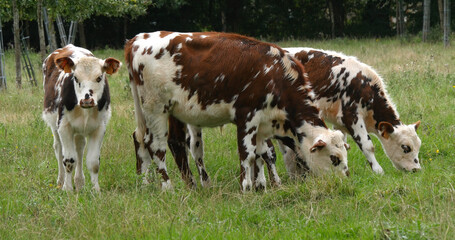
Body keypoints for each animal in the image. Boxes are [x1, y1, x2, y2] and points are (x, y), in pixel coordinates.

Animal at [42, 44, 121, 191]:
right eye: (76, 78)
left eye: (99, 77)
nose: (87, 100)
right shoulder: (64, 126)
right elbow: (68, 160)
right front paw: (67, 189)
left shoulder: (99, 128)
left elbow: (93, 162)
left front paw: (96, 190)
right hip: (54, 125)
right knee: (58, 149)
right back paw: (61, 181)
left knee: (79, 149)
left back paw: (79, 182)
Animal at [124, 31, 350, 191]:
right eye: (334, 158)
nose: (344, 181)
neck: (276, 75)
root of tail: (138, 39)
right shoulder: (247, 117)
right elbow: (247, 154)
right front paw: (246, 188)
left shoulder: (262, 123)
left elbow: (261, 153)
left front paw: (261, 186)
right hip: (156, 108)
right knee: (157, 146)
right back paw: (168, 187)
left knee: (143, 139)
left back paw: (150, 183)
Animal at [282, 47, 424, 176]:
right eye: (405, 147)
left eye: (418, 145)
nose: (416, 169)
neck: (365, 87)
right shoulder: (351, 116)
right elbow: (367, 145)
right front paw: (378, 170)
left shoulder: (339, 123)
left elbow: (343, 144)